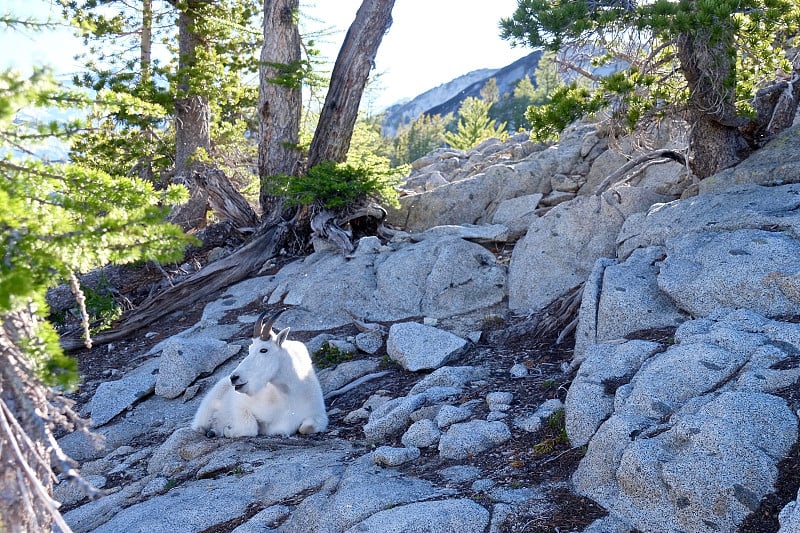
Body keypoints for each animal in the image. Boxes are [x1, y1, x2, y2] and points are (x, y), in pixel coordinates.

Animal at [191, 308, 328, 436]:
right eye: (250, 349)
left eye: (263, 350)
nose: (234, 377)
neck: (289, 396)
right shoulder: (241, 403)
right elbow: (250, 427)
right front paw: (227, 430)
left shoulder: (319, 415)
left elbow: (306, 428)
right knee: (200, 426)